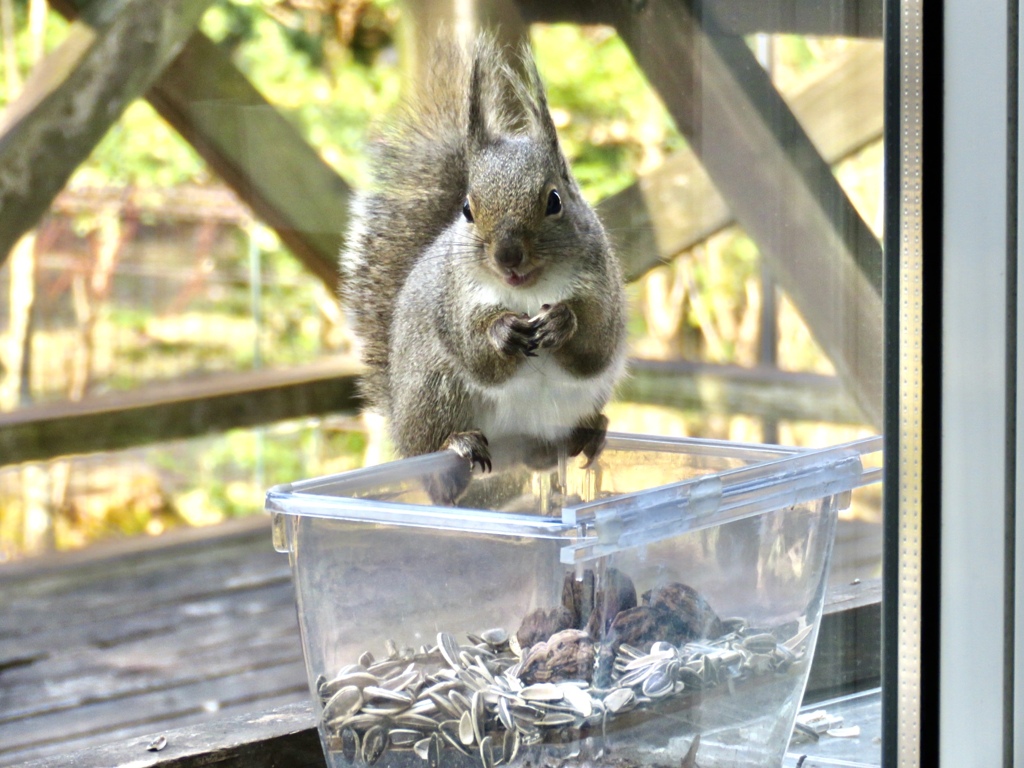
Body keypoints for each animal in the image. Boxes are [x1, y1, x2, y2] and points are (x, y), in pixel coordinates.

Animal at [339, 34, 626, 487]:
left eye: (555, 200)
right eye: (467, 210)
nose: (507, 256)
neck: (529, 291)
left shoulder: (602, 284)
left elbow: (597, 343)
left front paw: (563, 321)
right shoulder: (455, 301)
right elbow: (479, 357)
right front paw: (501, 331)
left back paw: (588, 432)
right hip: (434, 387)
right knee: (432, 444)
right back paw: (455, 445)